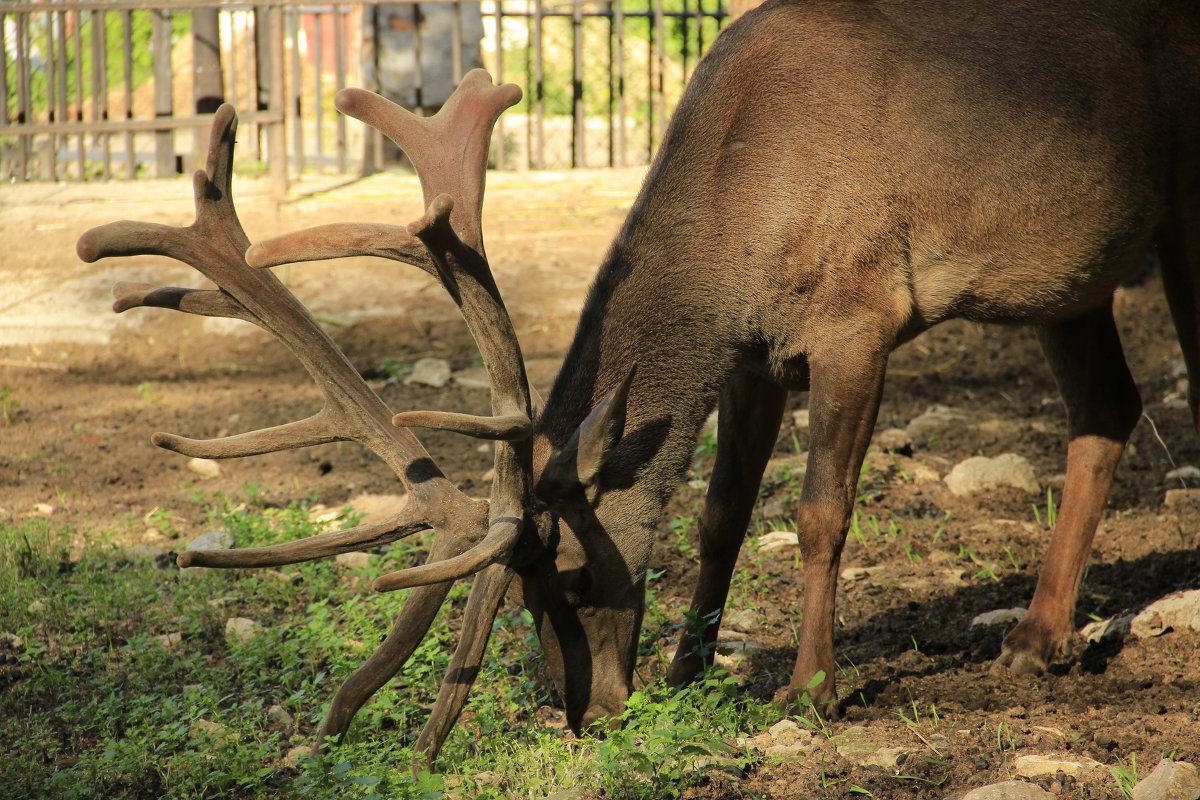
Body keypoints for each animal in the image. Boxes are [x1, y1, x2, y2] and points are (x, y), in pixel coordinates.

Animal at [82, 0, 1200, 762]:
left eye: (574, 578)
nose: (590, 710)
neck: (738, 216)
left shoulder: (859, 312)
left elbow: (820, 509)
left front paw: (809, 687)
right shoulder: (758, 350)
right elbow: (723, 514)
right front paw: (689, 665)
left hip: (1178, 221)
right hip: (1066, 277)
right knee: (1107, 410)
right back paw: (1037, 641)